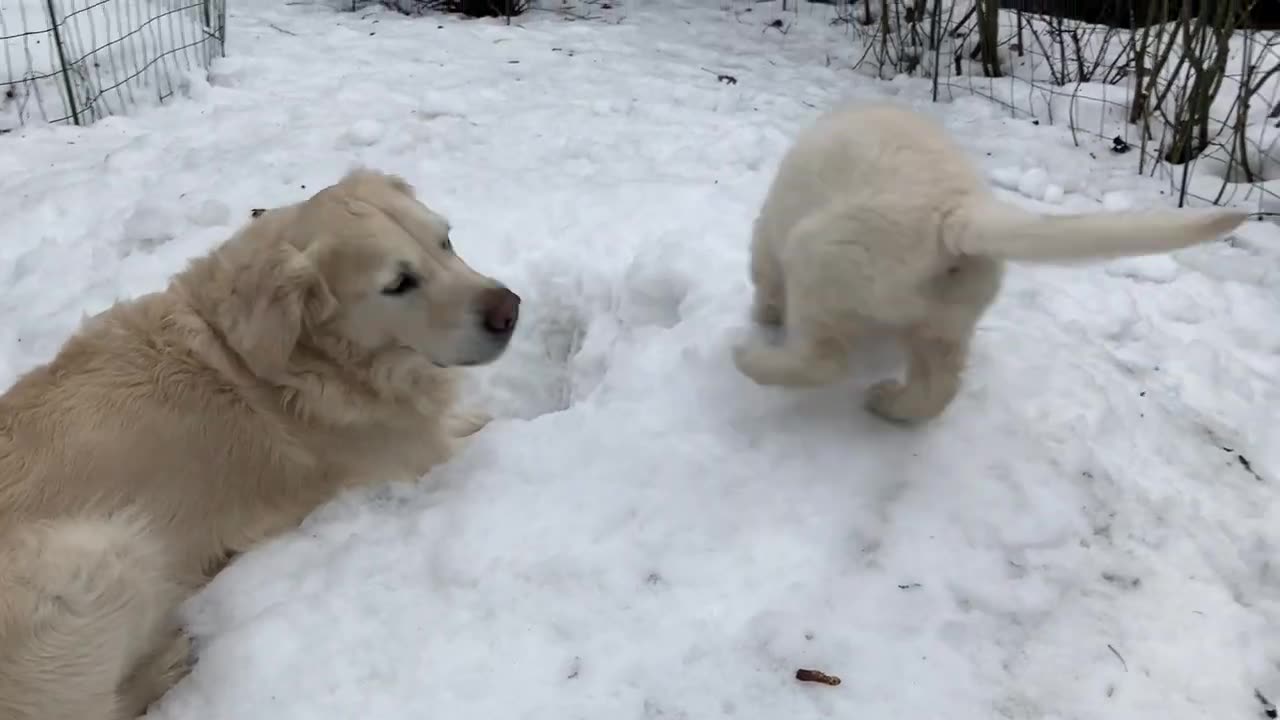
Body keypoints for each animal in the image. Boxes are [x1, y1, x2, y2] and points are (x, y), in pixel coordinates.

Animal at [737, 103, 1244, 422]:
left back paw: (751, 359)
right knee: (938, 389)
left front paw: (764, 315)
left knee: (825, 361)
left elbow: (764, 280)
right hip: (948, 320)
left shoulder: (768, 237)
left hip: (817, 255)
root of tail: (956, 211)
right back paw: (888, 404)